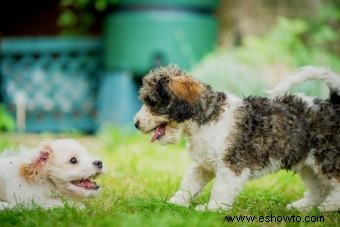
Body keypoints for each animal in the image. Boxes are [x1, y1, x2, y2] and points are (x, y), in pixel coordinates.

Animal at [134, 65, 338, 211]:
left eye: (151, 102)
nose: (135, 124)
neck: (206, 120)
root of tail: (332, 104)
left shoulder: (231, 166)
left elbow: (220, 190)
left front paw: (211, 209)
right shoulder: (203, 165)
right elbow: (189, 184)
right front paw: (175, 203)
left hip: (327, 160)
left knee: (335, 185)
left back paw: (329, 206)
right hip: (308, 166)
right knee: (319, 189)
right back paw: (303, 206)